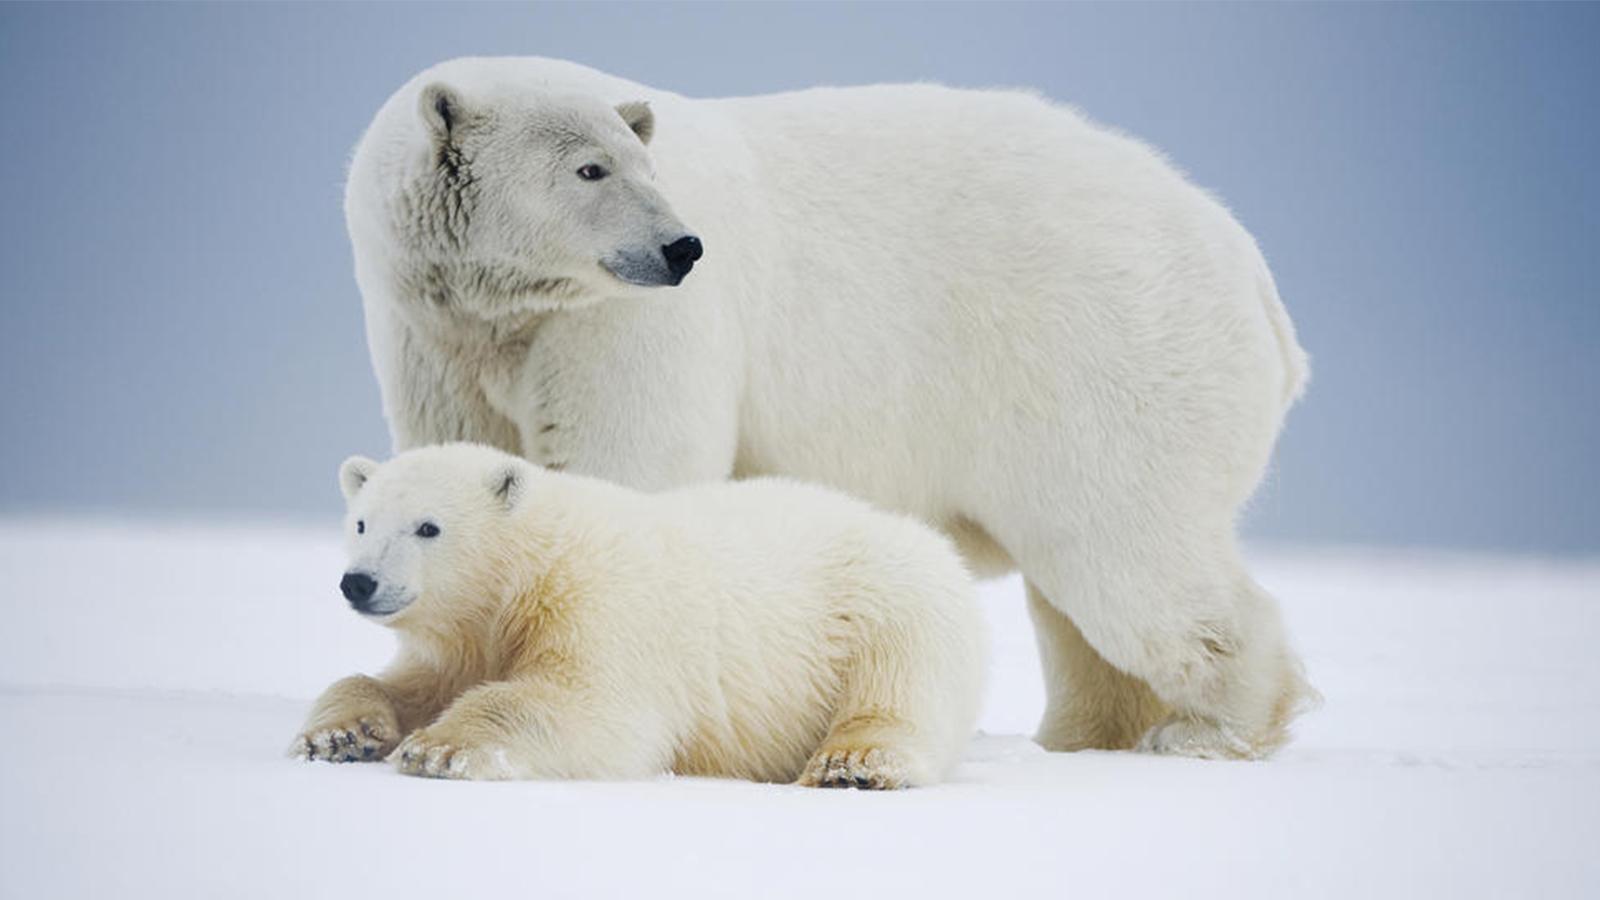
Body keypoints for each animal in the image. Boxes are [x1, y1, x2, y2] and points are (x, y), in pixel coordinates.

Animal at [291, 441, 985, 784]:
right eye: (361, 522)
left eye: (428, 527)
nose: (359, 582)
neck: (531, 571)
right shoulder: (465, 642)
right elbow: (402, 682)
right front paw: (340, 736)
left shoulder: (601, 608)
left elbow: (597, 710)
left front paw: (439, 747)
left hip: (886, 606)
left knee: (896, 693)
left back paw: (851, 765)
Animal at [347, 56, 1312, 755]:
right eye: (590, 168)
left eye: (643, 164)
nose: (682, 246)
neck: (508, 310)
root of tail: (1257, 281)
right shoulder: (436, 334)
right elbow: (460, 448)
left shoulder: (622, 325)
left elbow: (624, 468)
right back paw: (1084, 735)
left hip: (1105, 360)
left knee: (1127, 555)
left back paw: (1207, 729)